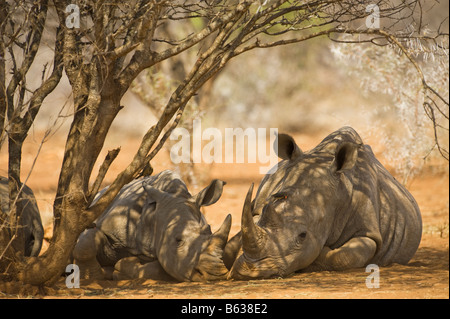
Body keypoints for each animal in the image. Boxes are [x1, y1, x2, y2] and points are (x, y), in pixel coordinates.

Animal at [74, 170, 232, 282]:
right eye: (178, 240)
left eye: (209, 231)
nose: (215, 274)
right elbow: (86, 242)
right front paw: (90, 277)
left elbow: (159, 269)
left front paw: (121, 268)